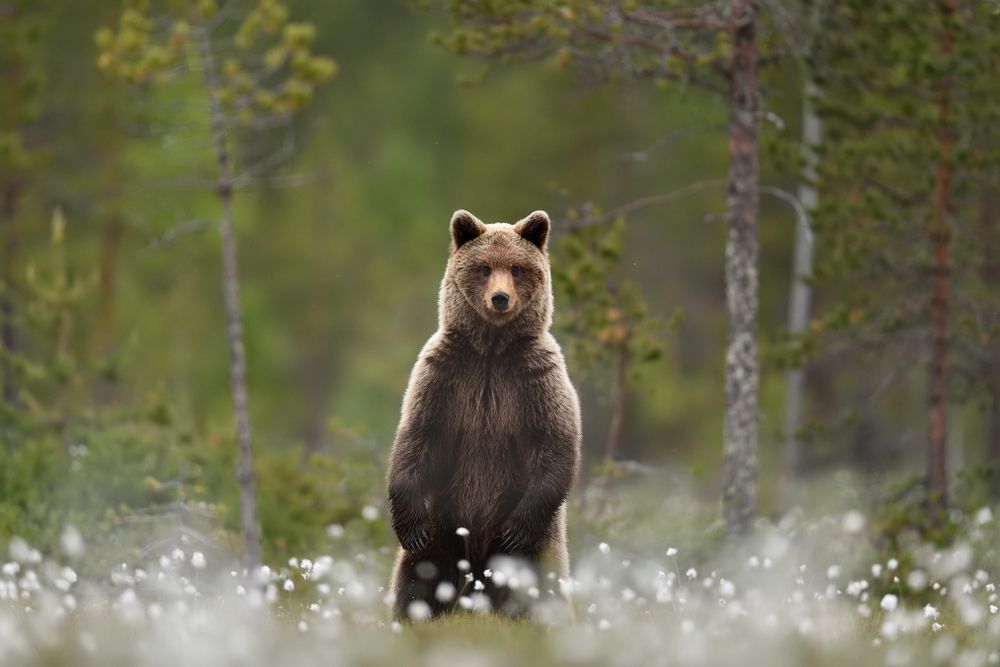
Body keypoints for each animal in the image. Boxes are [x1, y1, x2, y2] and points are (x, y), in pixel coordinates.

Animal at [386, 209, 582, 621]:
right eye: (485, 267)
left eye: (517, 268)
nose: (500, 297)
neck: (491, 351)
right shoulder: (445, 377)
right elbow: (417, 437)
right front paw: (409, 526)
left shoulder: (534, 379)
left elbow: (555, 443)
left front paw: (516, 528)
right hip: (444, 527)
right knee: (417, 580)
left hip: (540, 547)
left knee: (538, 588)